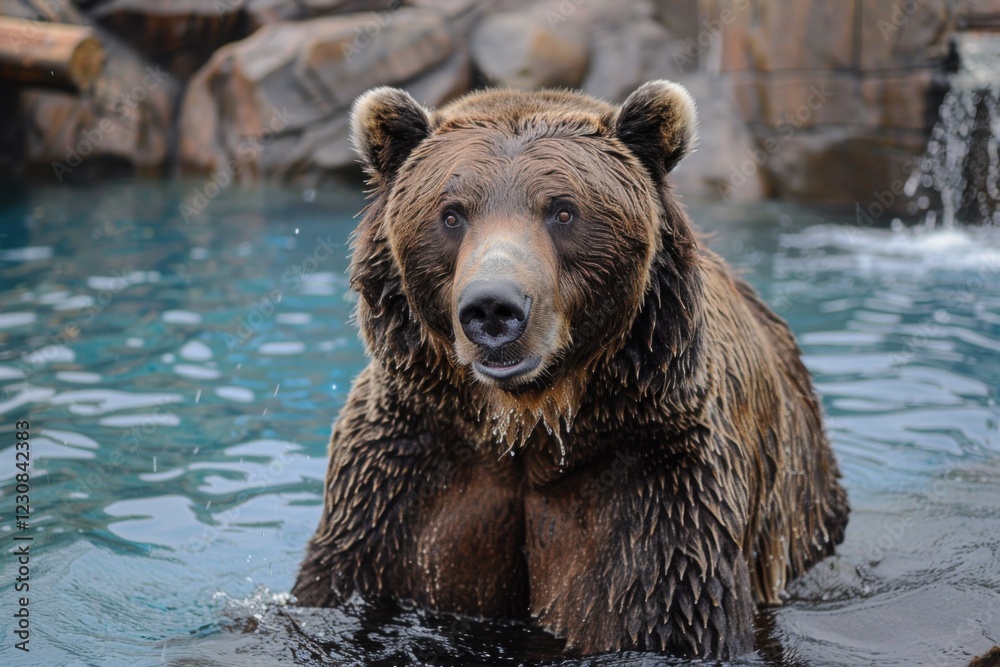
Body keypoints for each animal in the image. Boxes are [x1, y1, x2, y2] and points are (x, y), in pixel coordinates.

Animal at [292, 80, 849, 660]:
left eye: (562, 211)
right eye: (451, 213)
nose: (493, 308)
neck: (528, 424)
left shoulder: (658, 482)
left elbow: (670, 608)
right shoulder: (401, 478)